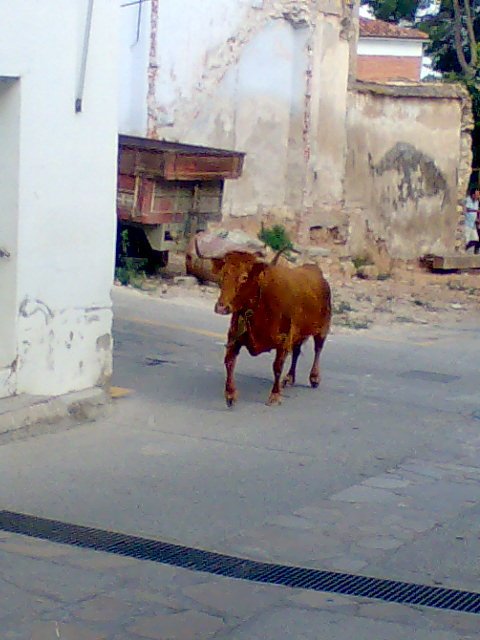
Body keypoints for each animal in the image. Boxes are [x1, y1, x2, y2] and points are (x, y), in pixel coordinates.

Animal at [212, 250, 332, 404]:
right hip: (299, 334)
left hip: (322, 329)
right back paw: (290, 378)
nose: (221, 307)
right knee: (296, 352)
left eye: (244, 277)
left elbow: (277, 366)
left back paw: (314, 377)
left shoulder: (284, 340)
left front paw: (275, 395)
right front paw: (230, 394)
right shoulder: (234, 337)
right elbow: (229, 361)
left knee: (318, 349)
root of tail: (316, 271)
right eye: (222, 275)